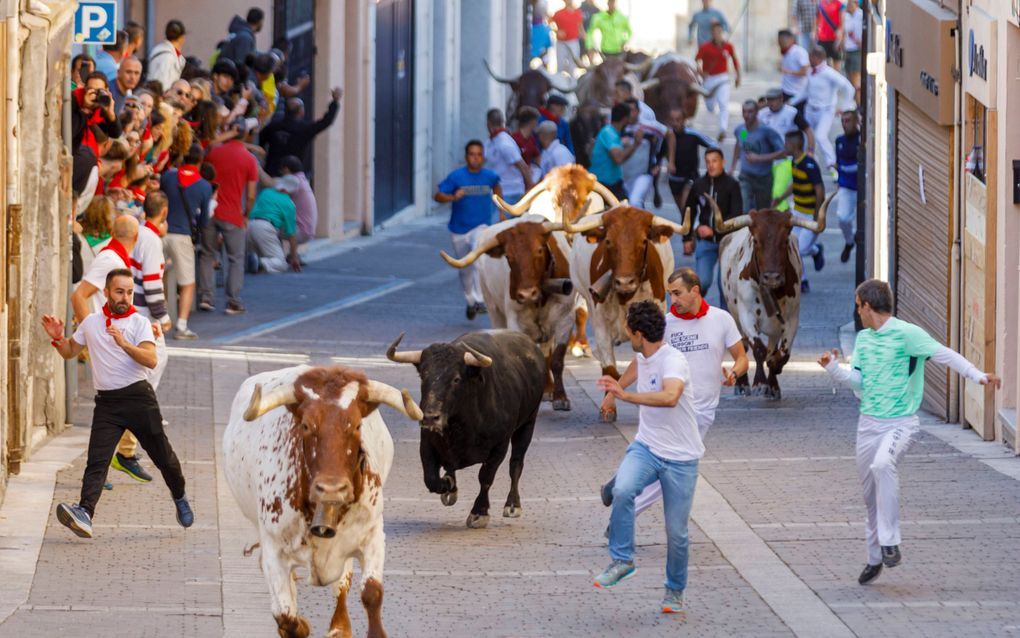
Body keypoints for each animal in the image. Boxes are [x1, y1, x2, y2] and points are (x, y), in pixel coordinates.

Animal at [383, 328, 546, 526]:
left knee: (516, 464)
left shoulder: (499, 447)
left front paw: (479, 513)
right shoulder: (427, 442)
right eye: (423, 376)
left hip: (528, 423)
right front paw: (449, 486)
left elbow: (486, 477)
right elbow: (431, 478)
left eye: (456, 379)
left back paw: (513, 504)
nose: (430, 417)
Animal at [442, 216, 579, 410]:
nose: (526, 293)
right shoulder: (516, 321)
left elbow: (556, 359)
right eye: (508, 256)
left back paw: (548, 389)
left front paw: (560, 397)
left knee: (546, 353)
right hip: (493, 308)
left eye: (539, 250)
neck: (541, 296)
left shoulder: (565, 318)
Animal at [563, 206, 689, 418]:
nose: (624, 282)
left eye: (644, 241)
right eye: (608, 241)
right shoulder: (600, 324)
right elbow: (610, 369)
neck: (625, 298)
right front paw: (608, 406)